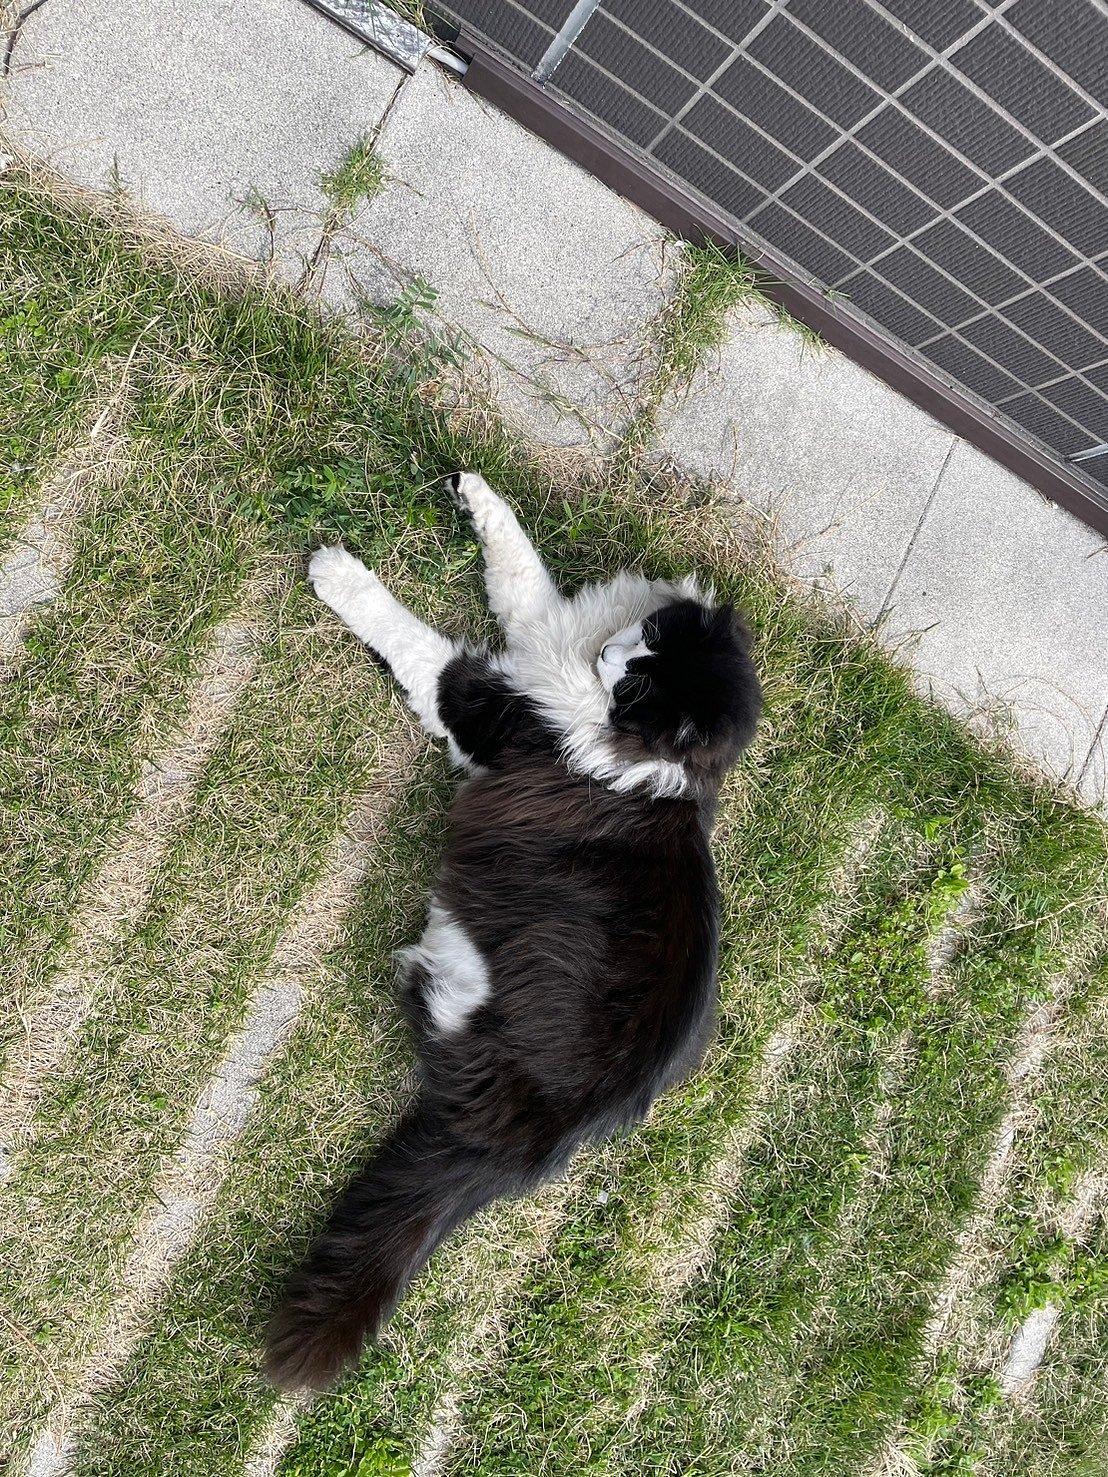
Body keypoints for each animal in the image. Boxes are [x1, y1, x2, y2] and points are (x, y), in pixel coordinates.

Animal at [267, 469, 762, 1382]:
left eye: (637, 688)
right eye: (643, 647)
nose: (613, 660)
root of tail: (537, 1139)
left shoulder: (483, 705)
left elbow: (413, 636)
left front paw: (338, 572)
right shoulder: (538, 634)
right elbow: (520, 565)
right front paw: (476, 494)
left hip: (466, 965)